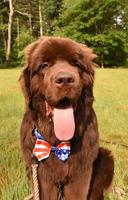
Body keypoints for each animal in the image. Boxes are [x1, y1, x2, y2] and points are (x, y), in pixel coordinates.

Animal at [19, 36, 113, 199]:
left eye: (75, 64)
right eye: (45, 65)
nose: (65, 79)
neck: (58, 143)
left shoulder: (81, 174)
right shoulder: (42, 177)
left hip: (106, 158)